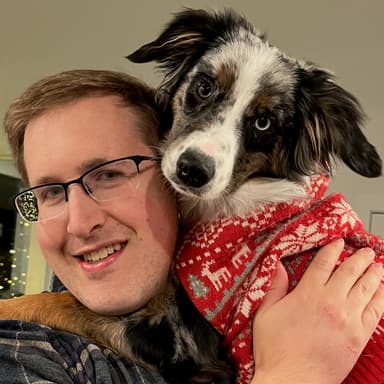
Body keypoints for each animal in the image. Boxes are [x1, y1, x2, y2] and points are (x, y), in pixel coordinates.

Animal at [0, 8, 384, 384]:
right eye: (204, 86)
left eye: (264, 123)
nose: (193, 170)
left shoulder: (184, 341)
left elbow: (68, 305)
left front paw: (8, 306)